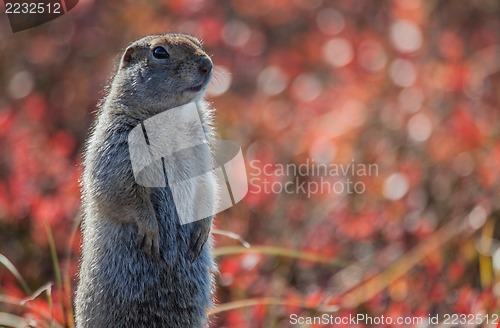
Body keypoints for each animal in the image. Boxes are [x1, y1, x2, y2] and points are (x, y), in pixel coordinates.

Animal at [75, 34, 216, 328]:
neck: (171, 118)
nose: (207, 64)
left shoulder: (203, 147)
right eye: (159, 52)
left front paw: (202, 229)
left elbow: (208, 184)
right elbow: (119, 189)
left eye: (198, 42)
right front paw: (151, 231)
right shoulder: (116, 143)